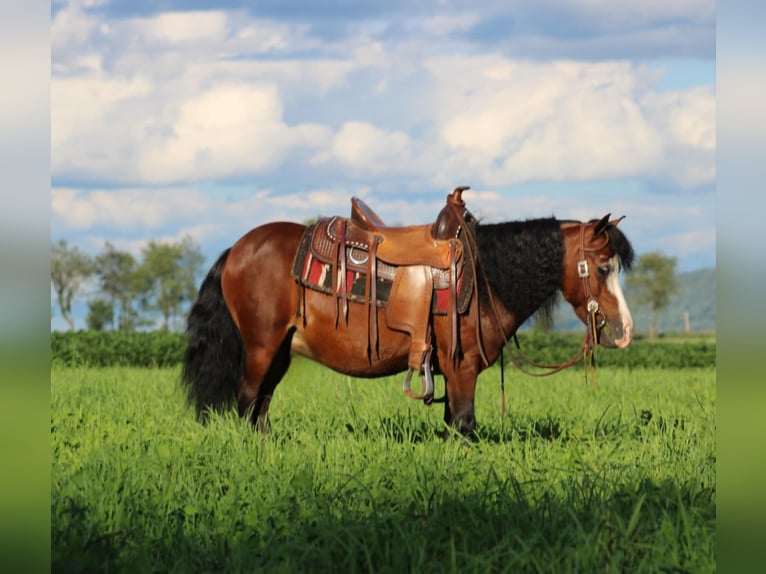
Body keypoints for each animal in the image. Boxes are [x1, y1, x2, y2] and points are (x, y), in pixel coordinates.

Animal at [180, 192, 636, 436]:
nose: (624, 330)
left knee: (261, 405)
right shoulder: (462, 367)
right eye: (602, 268)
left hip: (281, 351)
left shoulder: (452, 371)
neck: (485, 276)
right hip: (261, 347)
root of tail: (236, 249)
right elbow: (464, 423)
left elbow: (454, 422)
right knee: (246, 400)